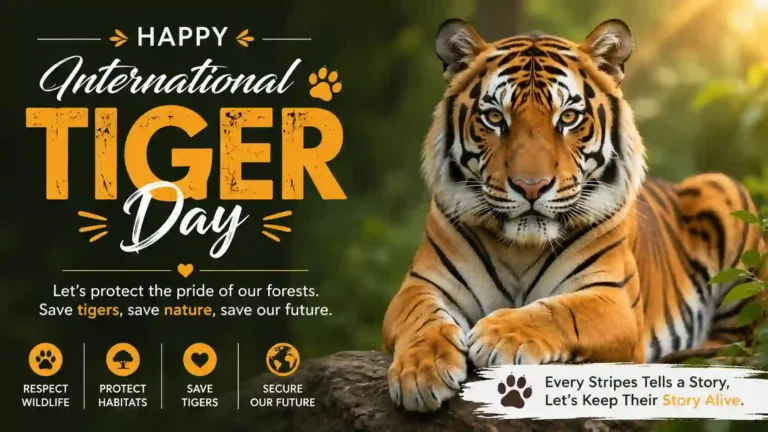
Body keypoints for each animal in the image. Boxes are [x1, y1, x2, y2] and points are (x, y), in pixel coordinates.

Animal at [382, 18, 766, 412]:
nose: (531, 187)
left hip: (724, 197)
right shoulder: (422, 284)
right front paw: (420, 371)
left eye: (567, 117)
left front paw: (497, 334)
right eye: (494, 117)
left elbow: (559, 311)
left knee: (737, 344)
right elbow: (420, 318)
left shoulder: (613, 298)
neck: (520, 249)